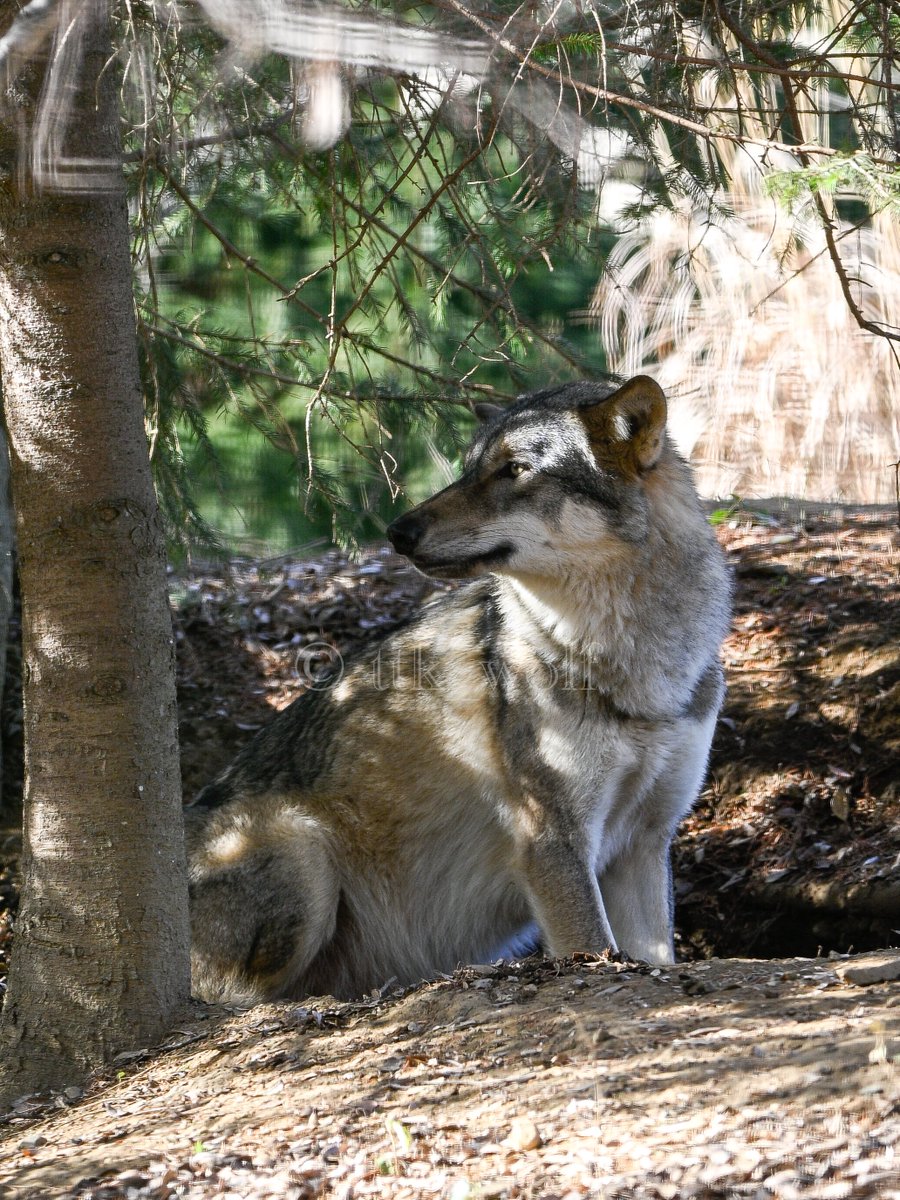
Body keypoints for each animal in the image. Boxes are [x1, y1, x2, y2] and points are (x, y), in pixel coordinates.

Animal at [186, 375, 732, 1004]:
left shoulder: (643, 845)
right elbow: (594, 951)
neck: (633, 669)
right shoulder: (553, 841)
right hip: (306, 851)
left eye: (513, 470)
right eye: (472, 467)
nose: (397, 533)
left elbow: (655, 960)